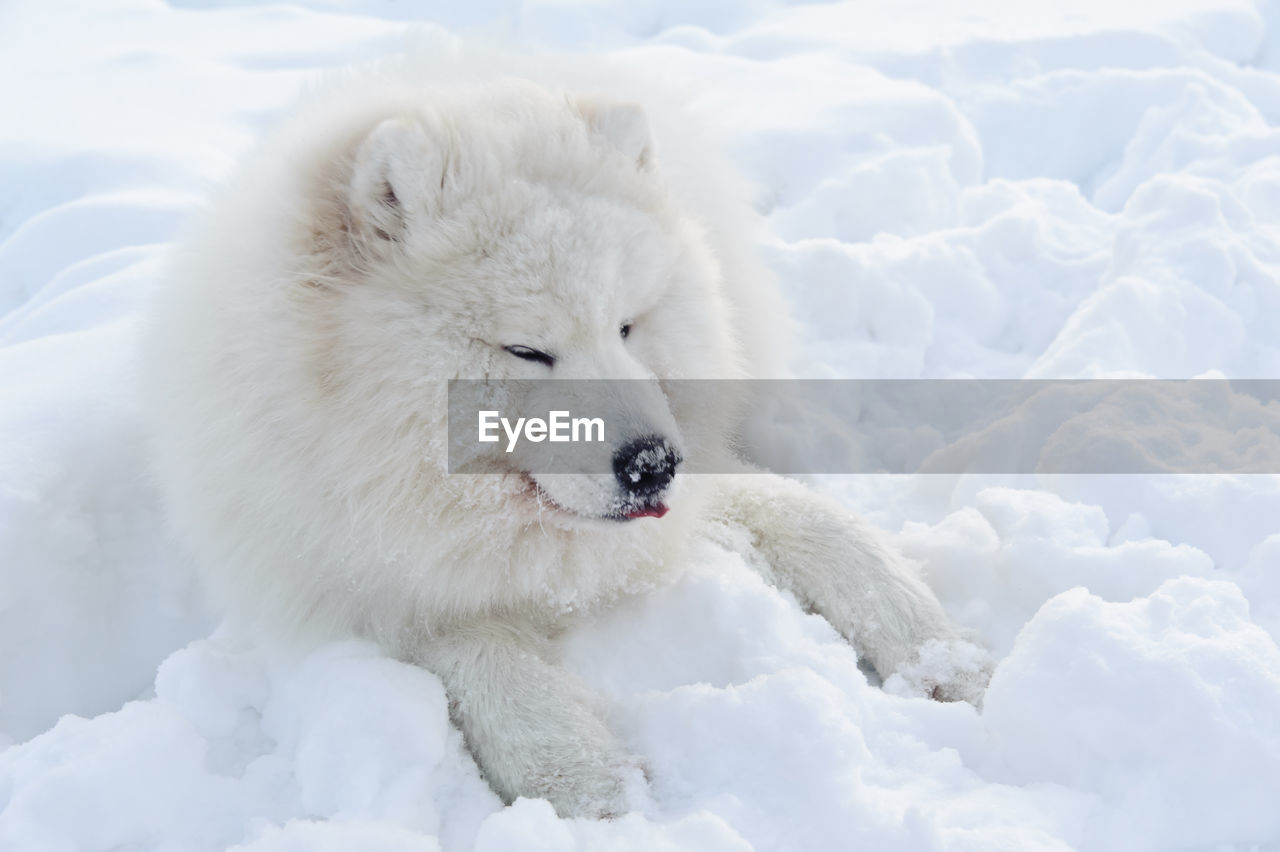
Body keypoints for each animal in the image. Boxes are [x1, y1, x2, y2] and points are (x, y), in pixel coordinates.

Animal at [145, 53, 993, 818]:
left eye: (628, 326)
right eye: (526, 349)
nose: (653, 463)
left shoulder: (698, 485)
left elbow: (826, 527)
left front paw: (943, 657)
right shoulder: (357, 583)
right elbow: (473, 652)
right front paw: (585, 780)